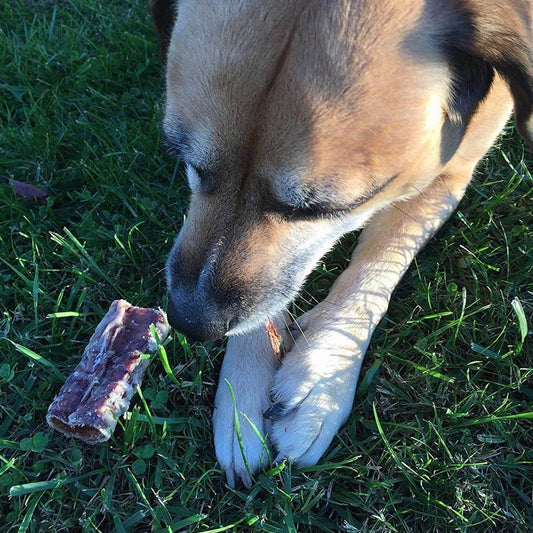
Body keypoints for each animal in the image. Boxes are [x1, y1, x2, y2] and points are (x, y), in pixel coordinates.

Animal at [149, 0, 532, 486]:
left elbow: (379, 261)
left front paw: (324, 372)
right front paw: (245, 387)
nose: (189, 321)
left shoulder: (446, 174)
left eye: (322, 208)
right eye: (188, 162)